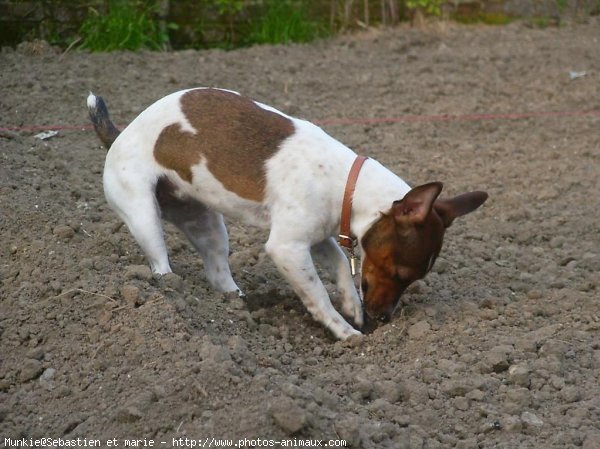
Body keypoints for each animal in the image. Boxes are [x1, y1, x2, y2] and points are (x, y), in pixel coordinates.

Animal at [86, 88, 486, 340]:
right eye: (401, 273)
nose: (385, 317)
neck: (346, 183)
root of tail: (118, 135)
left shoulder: (319, 237)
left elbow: (340, 268)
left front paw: (352, 307)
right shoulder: (288, 248)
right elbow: (317, 294)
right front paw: (345, 331)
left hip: (205, 224)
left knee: (217, 270)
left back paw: (236, 304)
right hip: (144, 217)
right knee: (160, 263)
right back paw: (174, 299)